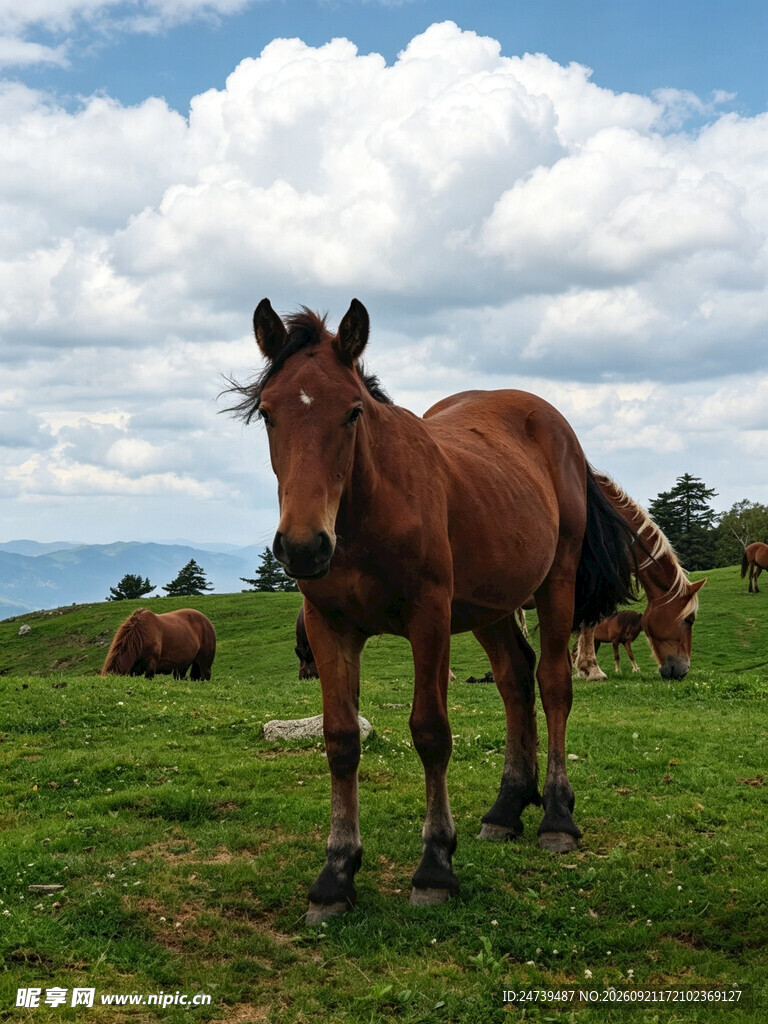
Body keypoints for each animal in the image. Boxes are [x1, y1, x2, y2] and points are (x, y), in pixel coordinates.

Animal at [227, 298, 640, 923]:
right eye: (269, 414)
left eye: (352, 412)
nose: (302, 546)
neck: (368, 514)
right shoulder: (330, 627)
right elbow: (340, 740)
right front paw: (336, 874)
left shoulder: (429, 620)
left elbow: (430, 732)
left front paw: (435, 866)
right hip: (491, 607)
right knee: (515, 679)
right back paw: (506, 808)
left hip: (556, 584)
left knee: (553, 684)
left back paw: (556, 816)